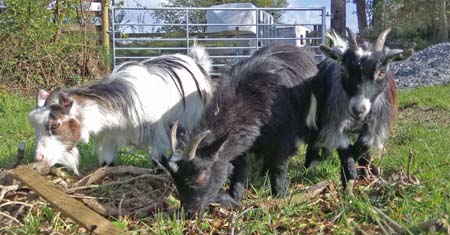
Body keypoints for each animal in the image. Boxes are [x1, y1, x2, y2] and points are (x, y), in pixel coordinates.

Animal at [28, 45, 214, 175]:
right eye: (34, 126)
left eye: (55, 124)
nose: (38, 157)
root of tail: (196, 61)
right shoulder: (109, 138)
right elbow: (107, 164)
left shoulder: (157, 137)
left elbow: (158, 163)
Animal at [159, 43, 320, 217]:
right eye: (175, 180)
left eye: (200, 176)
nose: (188, 213)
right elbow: (238, 171)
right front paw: (235, 196)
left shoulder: (283, 138)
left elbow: (279, 167)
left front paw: (281, 195)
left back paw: (310, 167)